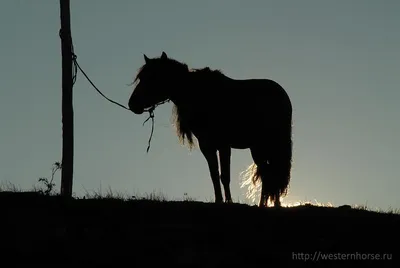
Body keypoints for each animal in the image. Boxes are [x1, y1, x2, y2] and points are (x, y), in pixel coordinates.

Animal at [129, 51, 294, 207]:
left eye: (153, 77)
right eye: (141, 77)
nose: (132, 104)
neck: (201, 95)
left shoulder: (224, 145)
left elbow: (225, 176)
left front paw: (229, 202)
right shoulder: (207, 145)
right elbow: (214, 174)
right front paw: (219, 201)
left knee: (272, 172)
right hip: (258, 148)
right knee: (269, 173)